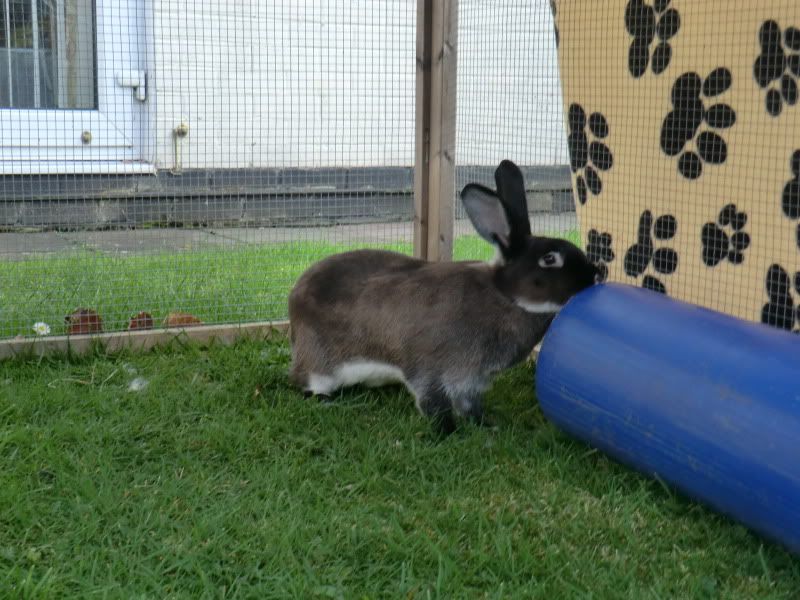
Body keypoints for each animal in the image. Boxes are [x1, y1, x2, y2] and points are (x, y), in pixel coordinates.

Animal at [288, 157, 600, 434]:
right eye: (549, 259)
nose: (594, 274)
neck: (503, 295)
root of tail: (294, 300)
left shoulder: (471, 381)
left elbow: (470, 406)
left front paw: (487, 426)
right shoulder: (430, 371)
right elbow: (434, 404)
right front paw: (447, 432)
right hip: (322, 363)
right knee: (307, 384)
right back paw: (325, 400)